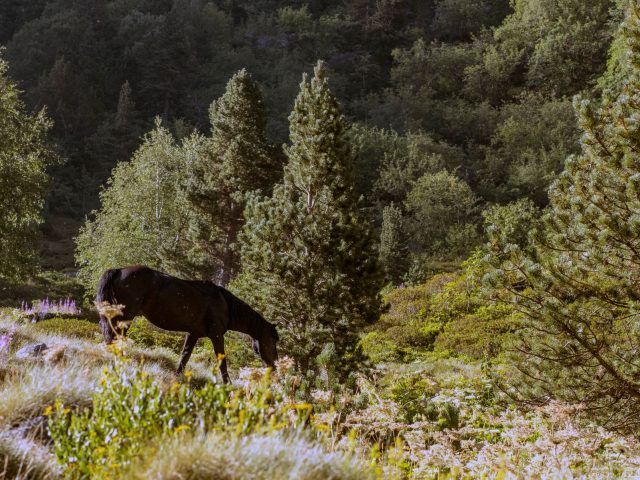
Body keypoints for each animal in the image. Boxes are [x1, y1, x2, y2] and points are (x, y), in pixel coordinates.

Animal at [96, 265, 278, 382]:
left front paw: (178, 376)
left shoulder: (193, 334)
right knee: (115, 336)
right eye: (272, 341)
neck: (225, 304)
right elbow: (222, 361)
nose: (274, 366)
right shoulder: (217, 335)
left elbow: (185, 356)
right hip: (125, 316)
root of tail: (119, 271)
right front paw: (228, 384)